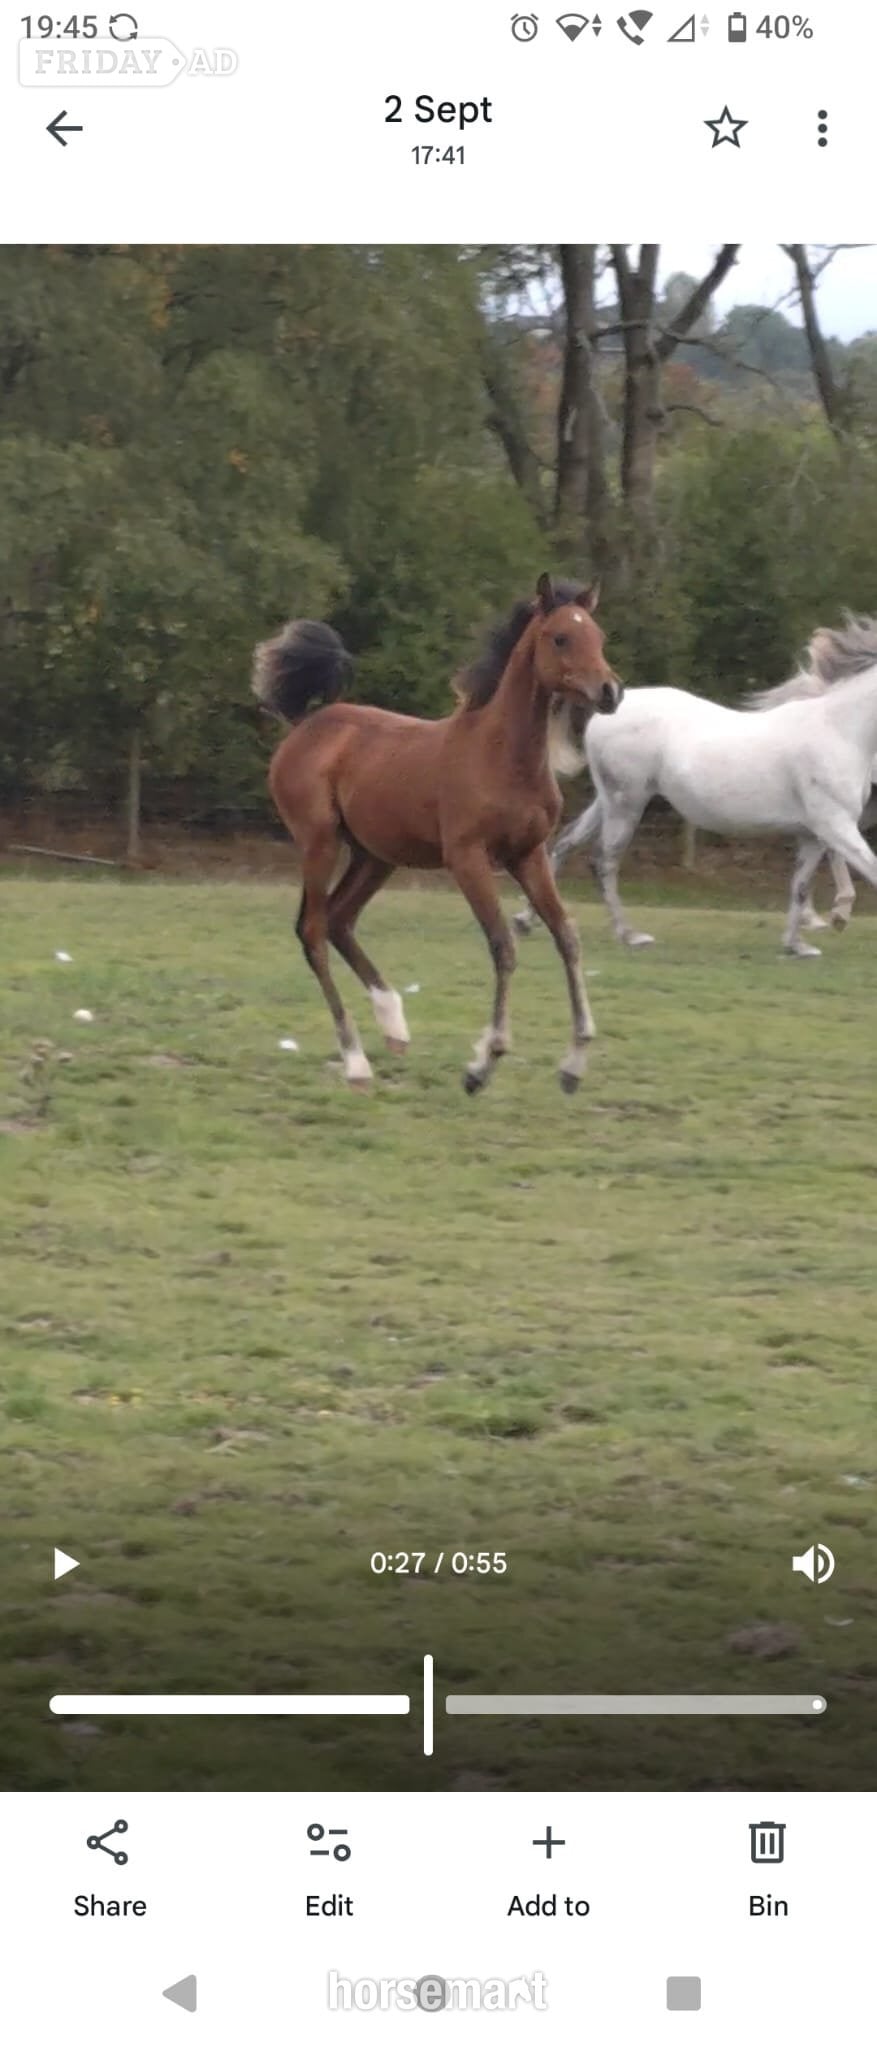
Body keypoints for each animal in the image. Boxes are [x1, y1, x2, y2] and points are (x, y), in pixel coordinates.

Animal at [254, 576, 623, 1095]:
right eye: (560, 638)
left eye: (599, 636)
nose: (610, 691)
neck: (502, 756)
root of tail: (308, 723)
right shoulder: (468, 858)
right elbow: (502, 945)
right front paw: (483, 1063)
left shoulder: (528, 855)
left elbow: (566, 937)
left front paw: (573, 1064)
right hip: (319, 842)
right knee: (312, 930)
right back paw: (355, 1060)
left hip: (376, 855)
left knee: (340, 920)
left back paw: (394, 1025)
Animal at [515, 620, 877, 958]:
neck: (839, 732)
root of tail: (609, 710)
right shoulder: (836, 826)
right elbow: (869, 870)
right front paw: (831, 921)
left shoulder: (813, 835)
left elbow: (800, 885)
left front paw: (796, 946)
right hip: (627, 804)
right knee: (604, 860)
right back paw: (630, 935)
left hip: (608, 801)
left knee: (565, 843)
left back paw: (525, 921)